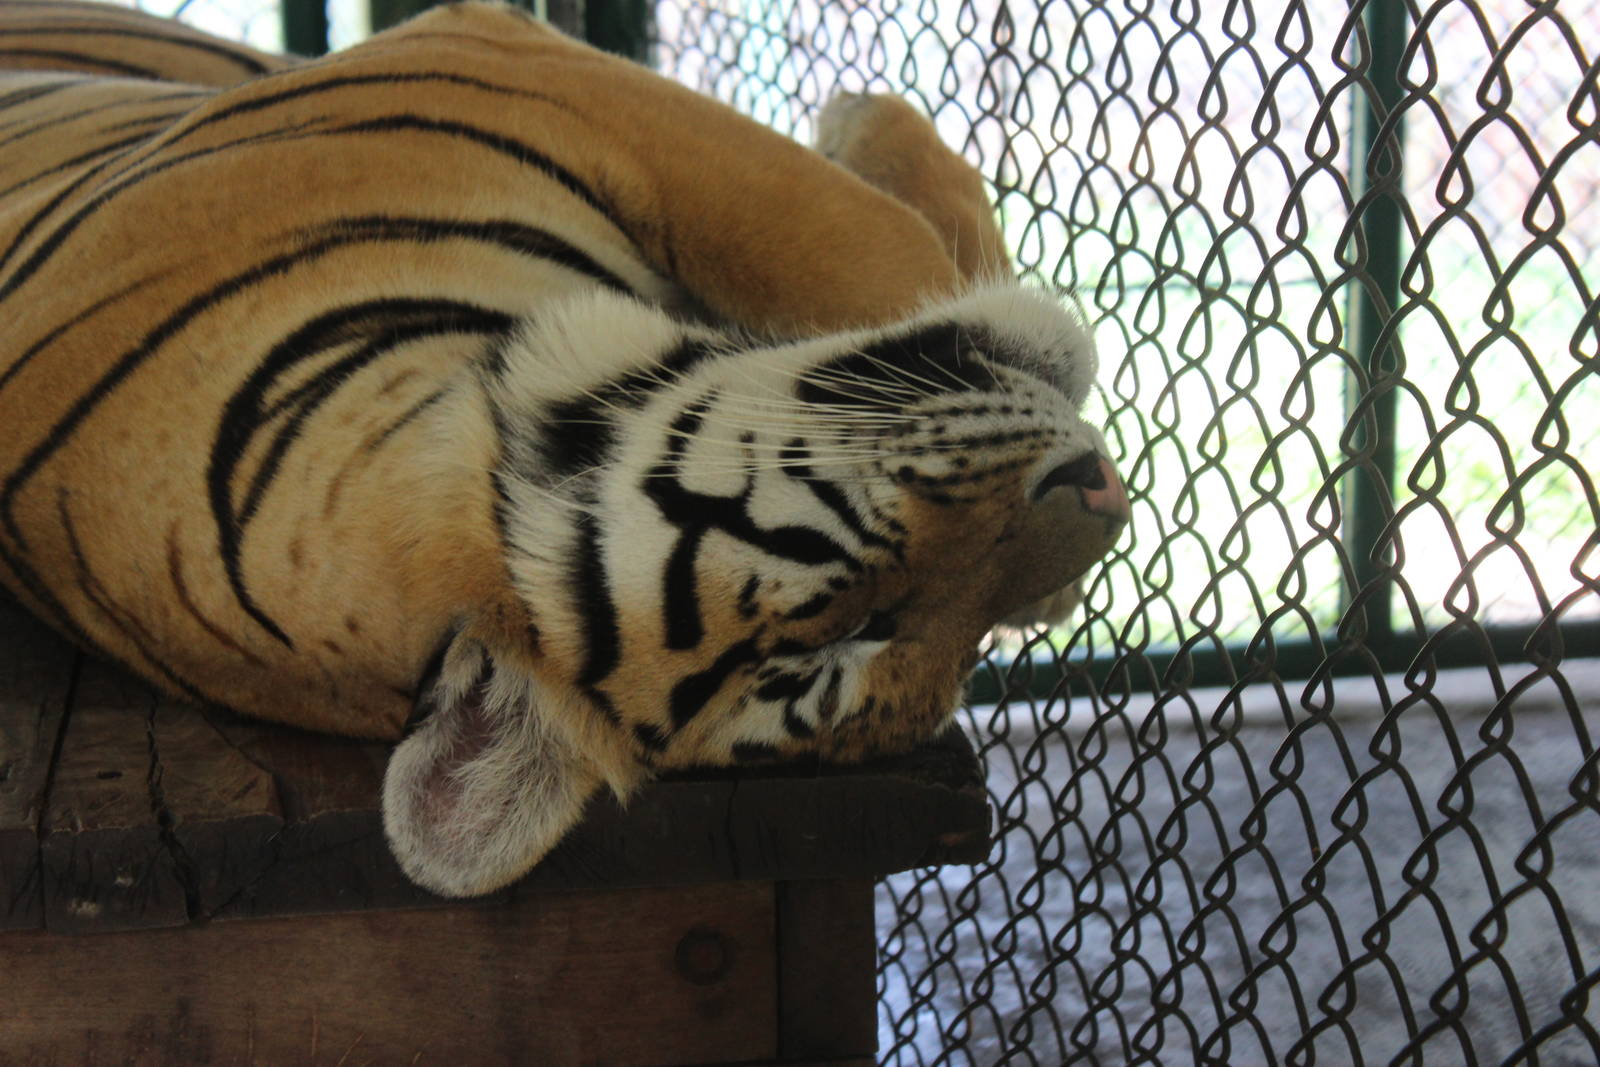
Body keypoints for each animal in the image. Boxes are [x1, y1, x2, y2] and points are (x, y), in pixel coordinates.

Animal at [0, 0, 1128, 896]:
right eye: (853, 630)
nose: (1103, 496)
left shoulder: (526, 63)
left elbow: (881, 246)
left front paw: (863, 120)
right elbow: (893, 249)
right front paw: (872, 119)